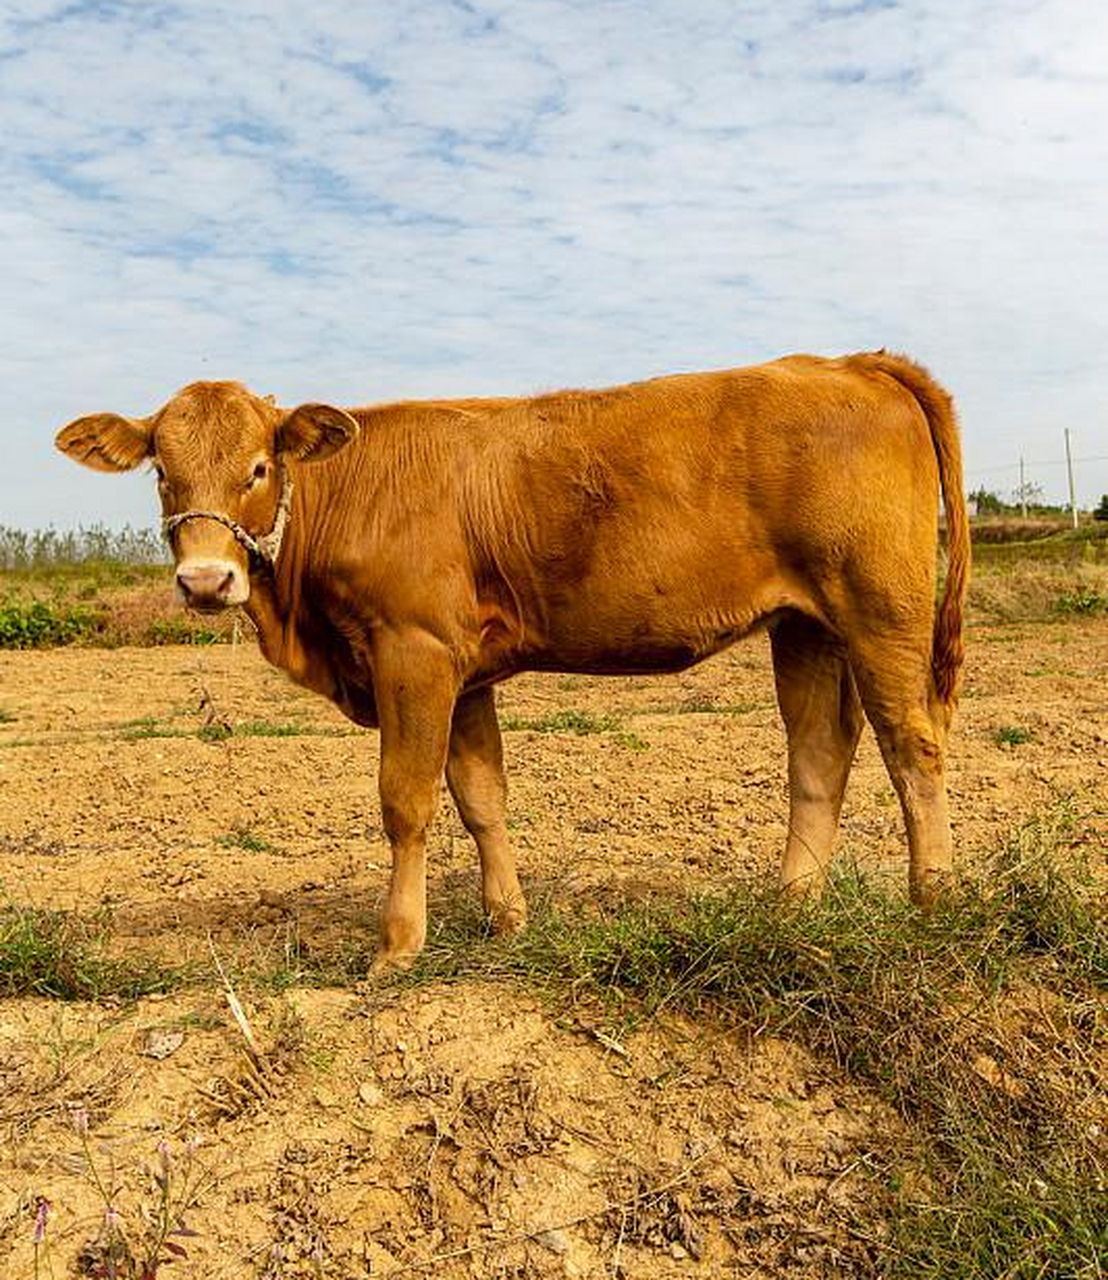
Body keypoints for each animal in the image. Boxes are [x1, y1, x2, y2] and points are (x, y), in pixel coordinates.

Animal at [54, 350, 967, 967]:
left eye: (257, 467)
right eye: (162, 474)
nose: (206, 581)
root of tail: (848, 362)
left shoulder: (413, 651)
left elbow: (406, 800)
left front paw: (398, 946)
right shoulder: (463, 673)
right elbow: (480, 797)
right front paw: (507, 921)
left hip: (880, 612)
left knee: (912, 747)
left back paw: (932, 903)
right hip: (806, 626)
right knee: (819, 756)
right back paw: (792, 908)